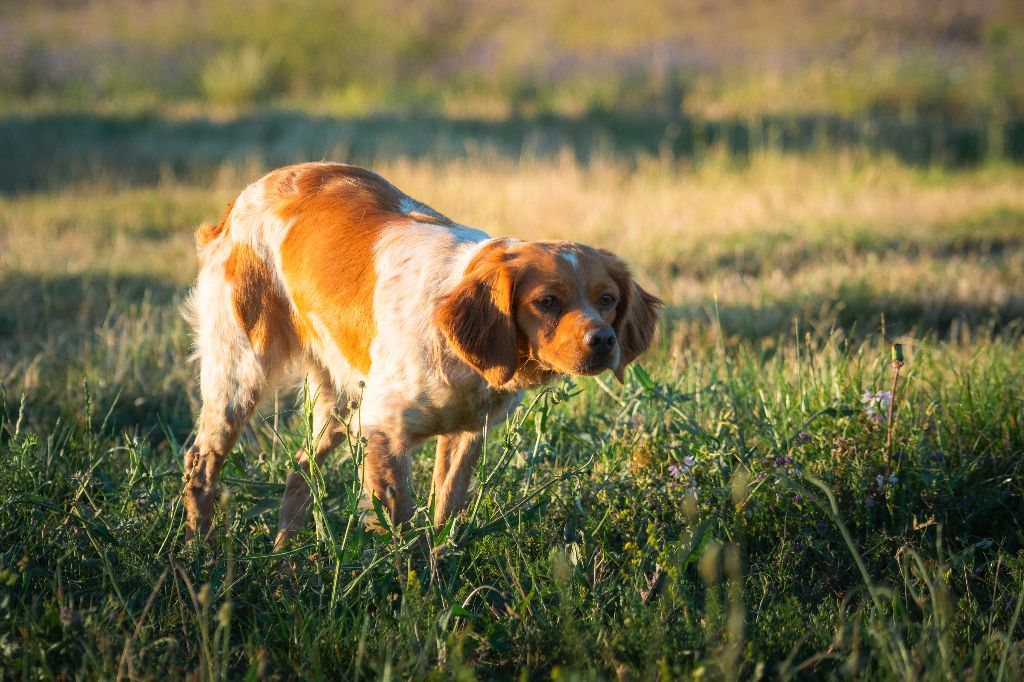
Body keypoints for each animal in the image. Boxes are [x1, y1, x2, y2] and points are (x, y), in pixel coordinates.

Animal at [182, 160, 663, 548]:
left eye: (607, 300)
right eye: (547, 301)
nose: (603, 341)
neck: (466, 360)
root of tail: (246, 195)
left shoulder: (465, 435)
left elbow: (444, 515)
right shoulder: (384, 432)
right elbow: (399, 531)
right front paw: (408, 592)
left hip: (342, 403)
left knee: (301, 470)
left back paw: (285, 556)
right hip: (240, 376)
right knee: (201, 465)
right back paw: (200, 552)